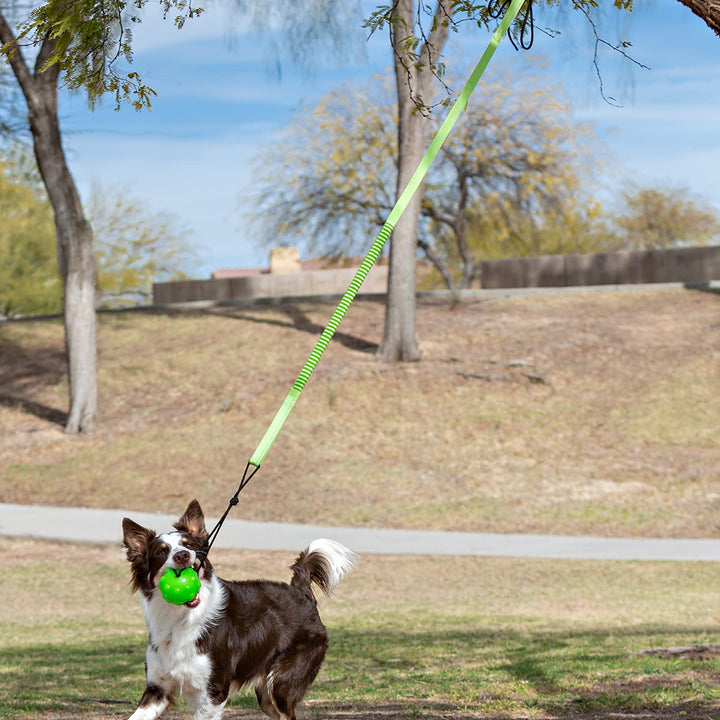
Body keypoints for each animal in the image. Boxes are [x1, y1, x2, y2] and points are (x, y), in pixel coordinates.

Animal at [122, 500, 356, 720]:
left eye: (189, 545)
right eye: (161, 551)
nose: (183, 555)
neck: (180, 618)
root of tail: (300, 590)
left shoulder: (213, 692)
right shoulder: (157, 689)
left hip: (282, 684)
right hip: (266, 695)